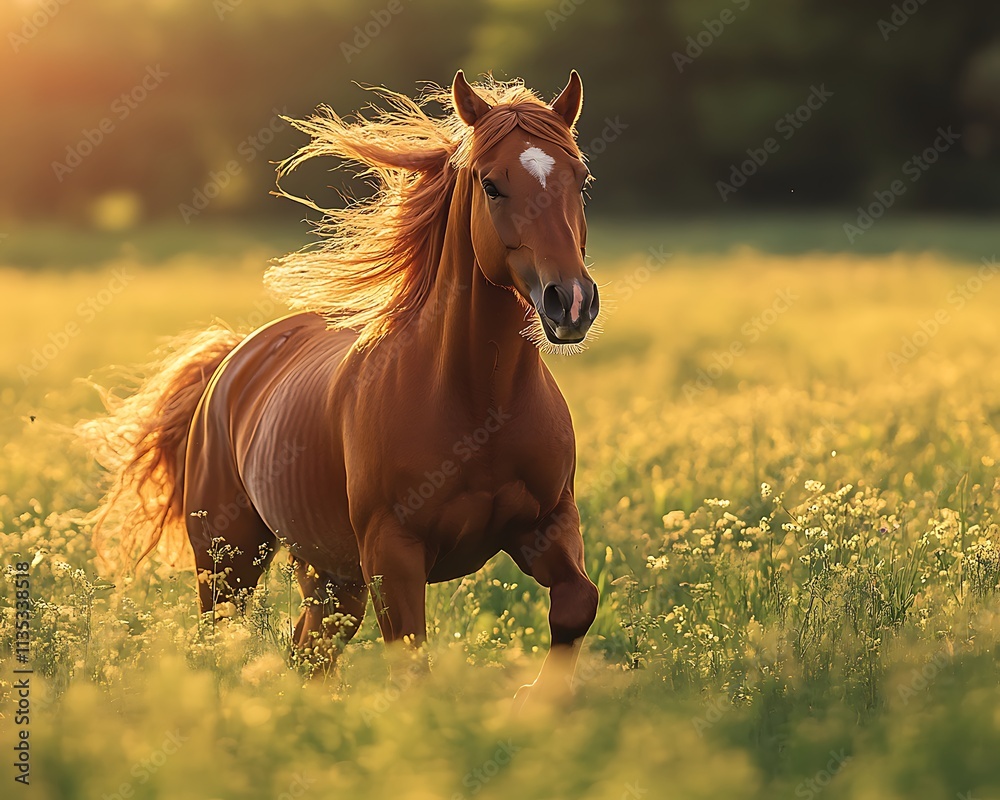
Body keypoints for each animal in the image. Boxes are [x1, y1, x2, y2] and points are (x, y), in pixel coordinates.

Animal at [81, 71, 601, 708]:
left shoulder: (547, 522)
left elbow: (577, 605)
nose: (570, 302)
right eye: (492, 184)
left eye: (580, 179)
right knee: (225, 638)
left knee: (310, 649)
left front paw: (532, 700)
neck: (480, 402)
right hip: (230, 560)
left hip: (328, 573)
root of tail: (233, 360)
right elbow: (412, 661)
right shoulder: (391, 554)